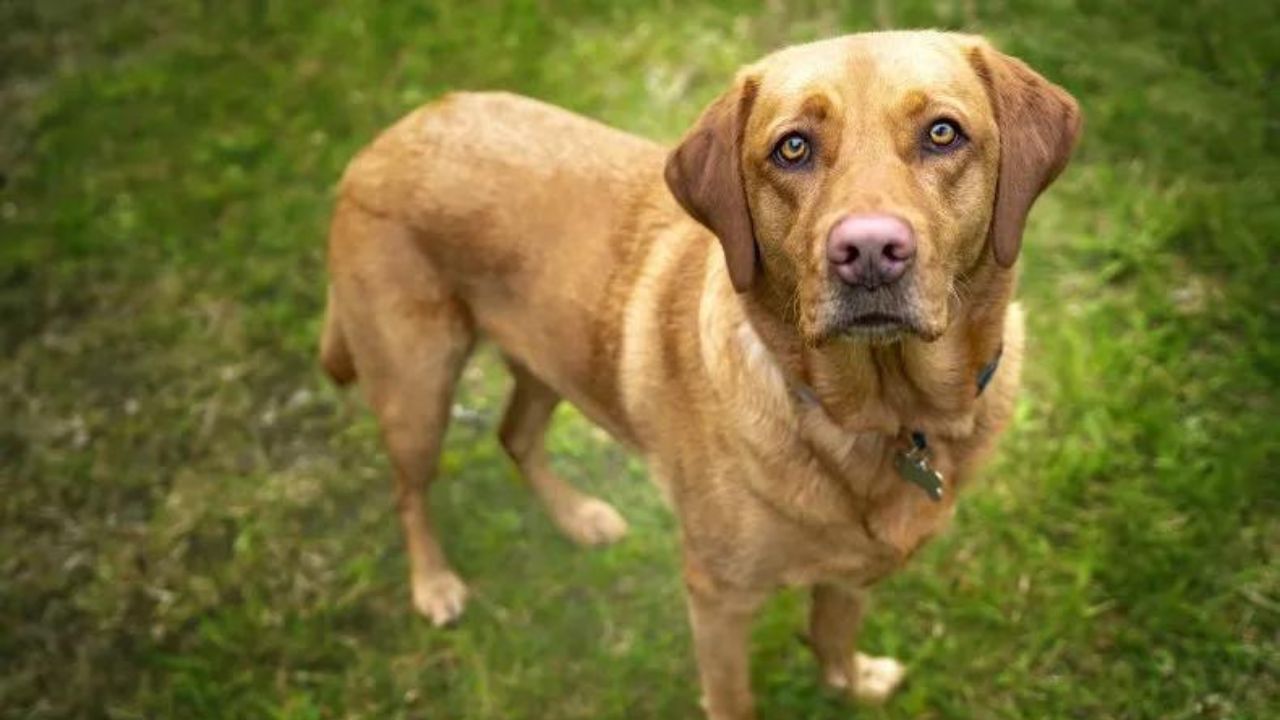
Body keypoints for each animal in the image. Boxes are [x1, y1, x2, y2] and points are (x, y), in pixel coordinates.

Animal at [320, 30, 1080, 712]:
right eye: (793, 147)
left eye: (943, 134)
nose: (868, 251)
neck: (883, 416)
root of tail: (392, 132)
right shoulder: (717, 598)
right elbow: (734, 697)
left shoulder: (853, 573)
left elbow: (832, 636)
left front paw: (852, 684)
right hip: (417, 388)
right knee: (410, 492)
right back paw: (434, 585)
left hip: (549, 355)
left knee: (515, 435)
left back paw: (580, 518)